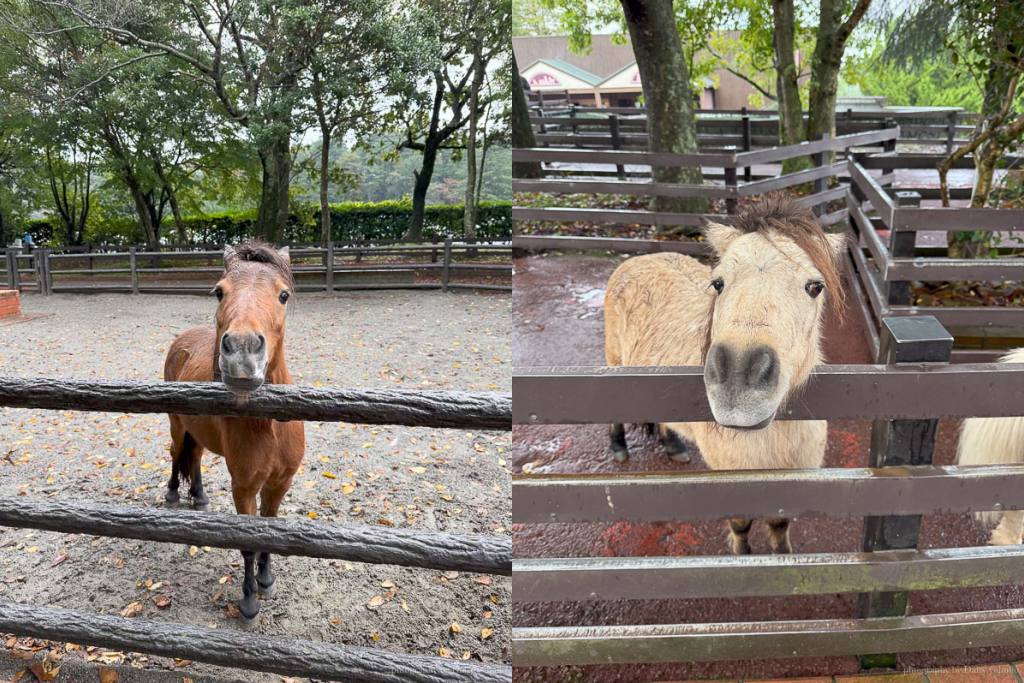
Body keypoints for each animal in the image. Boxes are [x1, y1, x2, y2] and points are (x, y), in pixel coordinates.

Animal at [163, 242, 303, 622]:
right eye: (219, 291)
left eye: (283, 295)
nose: (242, 351)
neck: (268, 424)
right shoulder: (244, 488)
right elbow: (247, 545)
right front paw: (249, 600)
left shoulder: (280, 483)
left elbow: (270, 531)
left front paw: (266, 580)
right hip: (176, 424)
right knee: (176, 454)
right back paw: (174, 494)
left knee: (194, 457)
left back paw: (199, 496)